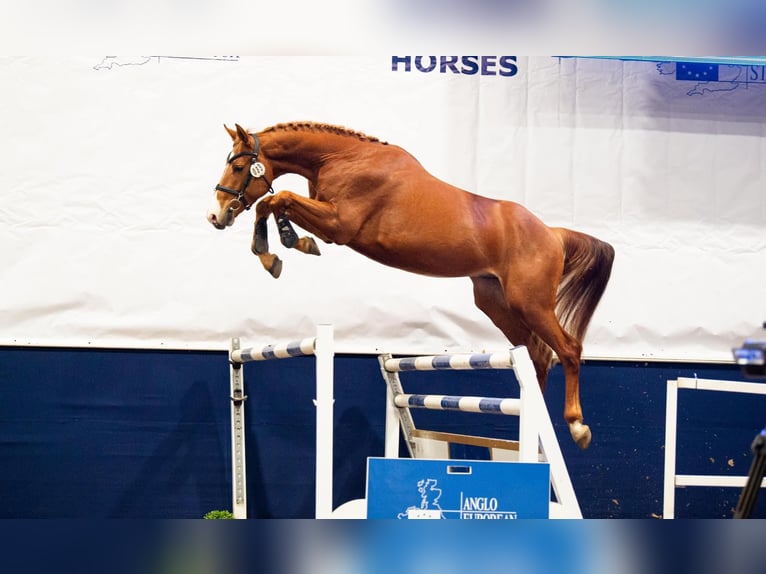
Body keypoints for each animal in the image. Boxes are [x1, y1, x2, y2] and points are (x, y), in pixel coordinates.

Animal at [207, 124, 616, 452]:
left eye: (239, 167)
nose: (217, 214)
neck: (343, 158)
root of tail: (552, 233)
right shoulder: (327, 218)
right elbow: (274, 204)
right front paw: (279, 250)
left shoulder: (339, 224)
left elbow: (278, 199)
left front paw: (285, 246)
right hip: (496, 303)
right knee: (536, 356)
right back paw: (532, 429)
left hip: (530, 303)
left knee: (568, 350)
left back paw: (577, 426)